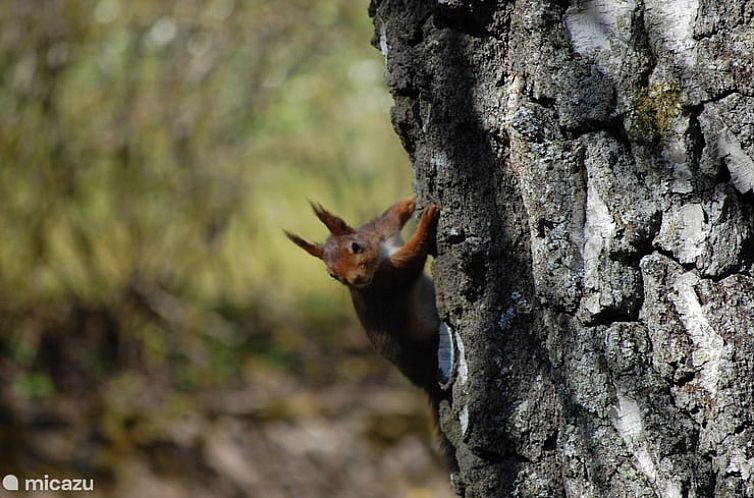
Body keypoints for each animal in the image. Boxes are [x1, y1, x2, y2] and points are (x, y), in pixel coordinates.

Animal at [286, 196, 452, 468]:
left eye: (355, 246)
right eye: (332, 275)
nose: (356, 280)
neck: (382, 252)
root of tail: (425, 382)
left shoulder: (381, 230)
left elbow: (392, 214)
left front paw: (412, 202)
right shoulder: (385, 280)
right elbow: (410, 260)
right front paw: (427, 221)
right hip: (426, 345)